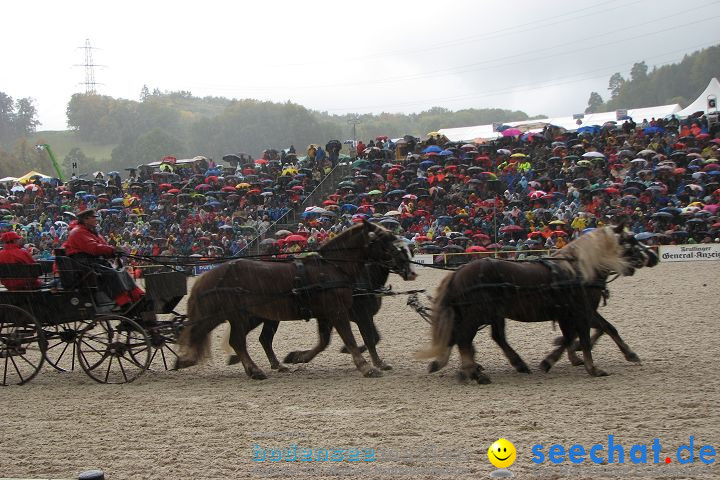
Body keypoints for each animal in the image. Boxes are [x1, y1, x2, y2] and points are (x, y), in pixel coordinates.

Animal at [175, 223, 420, 380]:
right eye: (384, 239)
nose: (411, 271)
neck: (332, 267)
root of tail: (213, 272)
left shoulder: (327, 315)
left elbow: (328, 341)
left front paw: (298, 356)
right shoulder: (341, 312)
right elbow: (355, 339)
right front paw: (367, 367)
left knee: (243, 339)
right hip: (235, 315)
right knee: (234, 339)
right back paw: (252, 370)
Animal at [416, 223, 660, 384]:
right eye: (631, 241)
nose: (654, 257)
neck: (579, 270)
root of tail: (457, 273)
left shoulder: (572, 314)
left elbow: (593, 331)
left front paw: (559, 358)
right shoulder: (581, 311)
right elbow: (589, 334)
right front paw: (592, 367)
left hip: (490, 314)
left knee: (487, 337)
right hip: (477, 315)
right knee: (465, 339)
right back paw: (475, 372)